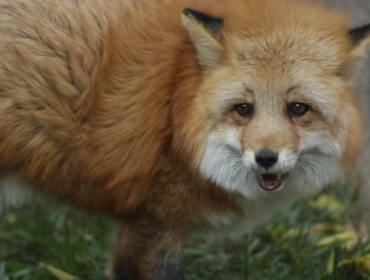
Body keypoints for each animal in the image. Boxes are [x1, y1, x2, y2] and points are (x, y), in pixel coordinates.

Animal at [0, 0, 368, 278]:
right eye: (243, 109)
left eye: (298, 108)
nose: (266, 158)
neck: (175, 110)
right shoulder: (154, 223)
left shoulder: (136, 224)